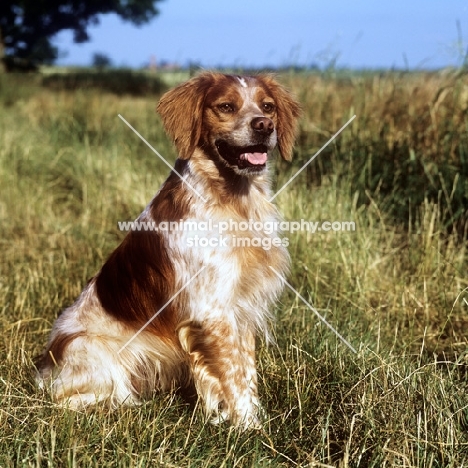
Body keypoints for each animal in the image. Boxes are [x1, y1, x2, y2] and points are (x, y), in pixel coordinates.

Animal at [35, 72, 300, 428]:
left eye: (268, 106)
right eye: (226, 106)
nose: (264, 125)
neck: (234, 200)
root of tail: (45, 367)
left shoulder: (241, 309)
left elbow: (246, 373)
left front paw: (249, 416)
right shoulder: (213, 311)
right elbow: (233, 376)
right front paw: (249, 428)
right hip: (92, 349)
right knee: (71, 400)